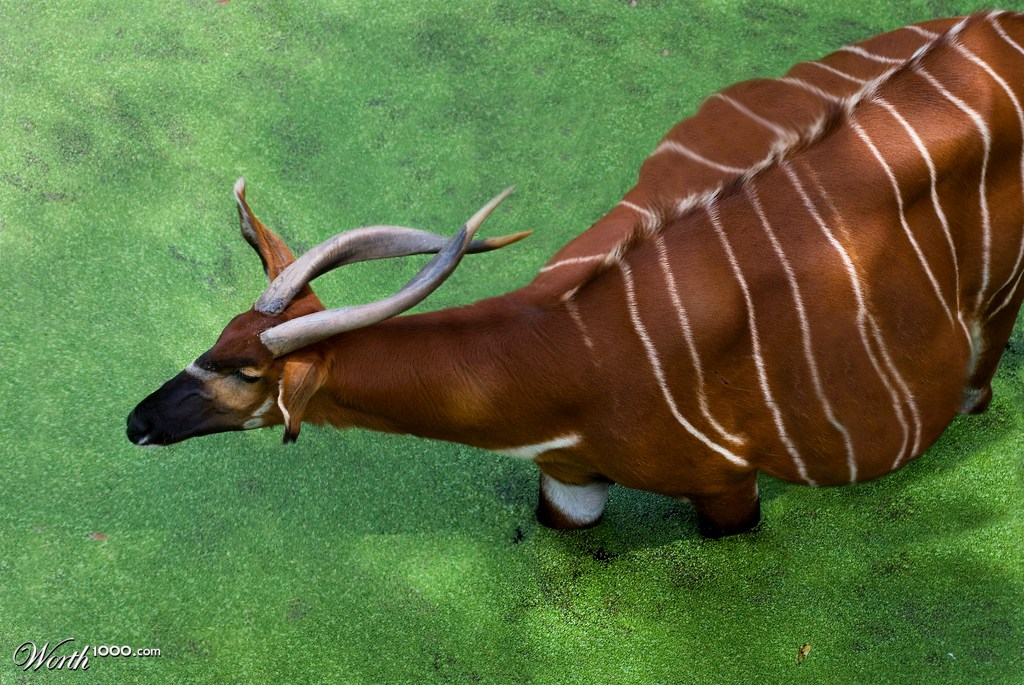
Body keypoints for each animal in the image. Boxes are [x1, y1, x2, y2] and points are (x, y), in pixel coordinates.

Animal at [129, 12, 1024, 536]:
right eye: (215, 335)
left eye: (248, 371)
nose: (137, 422)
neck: (565, 352)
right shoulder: (568, 481)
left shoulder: (727, 486)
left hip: (998, 301)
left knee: (981, 379)